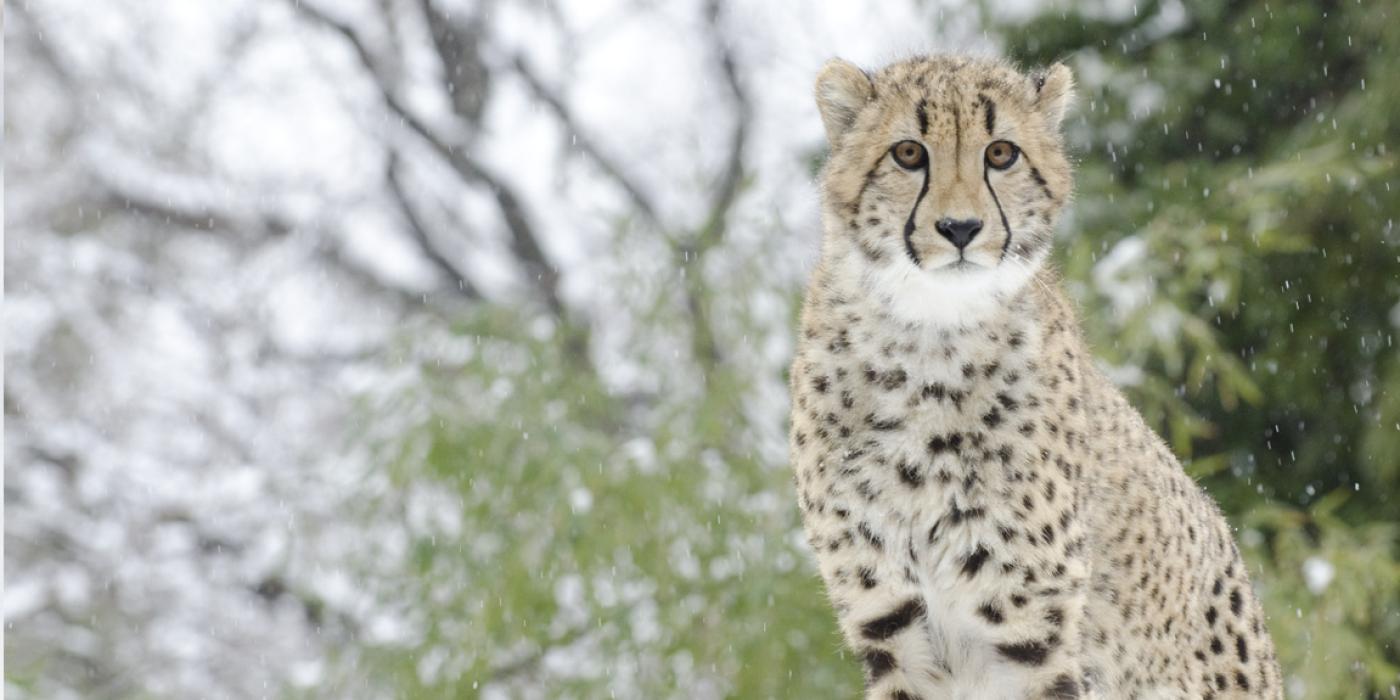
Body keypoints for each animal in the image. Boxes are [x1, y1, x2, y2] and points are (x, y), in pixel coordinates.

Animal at [789, 56, 1282, 700]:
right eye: (907, 153)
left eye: (1001, 154)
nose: (960, 228)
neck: (928, 338)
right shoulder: (891, 622)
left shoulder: (1030, 633)